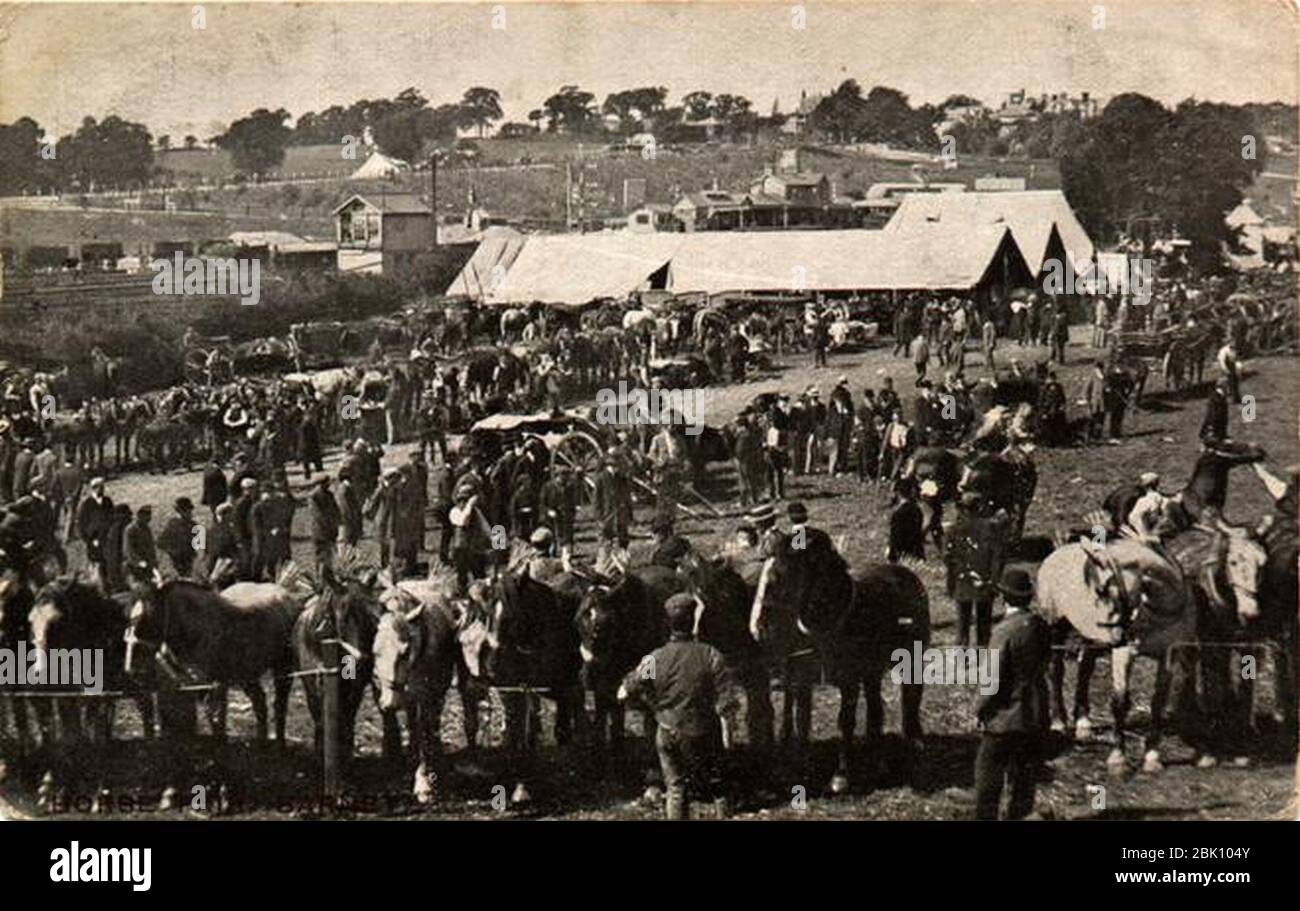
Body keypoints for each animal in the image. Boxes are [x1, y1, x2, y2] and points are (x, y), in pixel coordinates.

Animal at [748, 530, 930, 790]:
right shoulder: (802, 681)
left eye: (778, 576)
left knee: (911, 698)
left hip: (910, 663)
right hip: (872, 671)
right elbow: (801, 721)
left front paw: (841, 775)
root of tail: (906, 574)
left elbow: (845, 721)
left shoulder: (849, 683)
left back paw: (914, 741)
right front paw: (799, 769)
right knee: (875, 708)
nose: (758, 628)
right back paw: (876, 757)